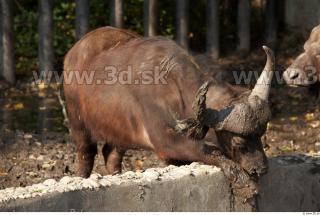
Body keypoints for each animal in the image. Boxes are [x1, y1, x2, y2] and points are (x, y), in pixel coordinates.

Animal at [63, 26, 276, 200]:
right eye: (239, 142)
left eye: (261, 135)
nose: (261, 169)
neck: (174, 87)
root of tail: (72, 54)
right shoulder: (166, 142)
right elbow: (208, 151)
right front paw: (245, 184)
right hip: (78, 124)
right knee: (86, 154)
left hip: (118, 132)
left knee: (111, 154)